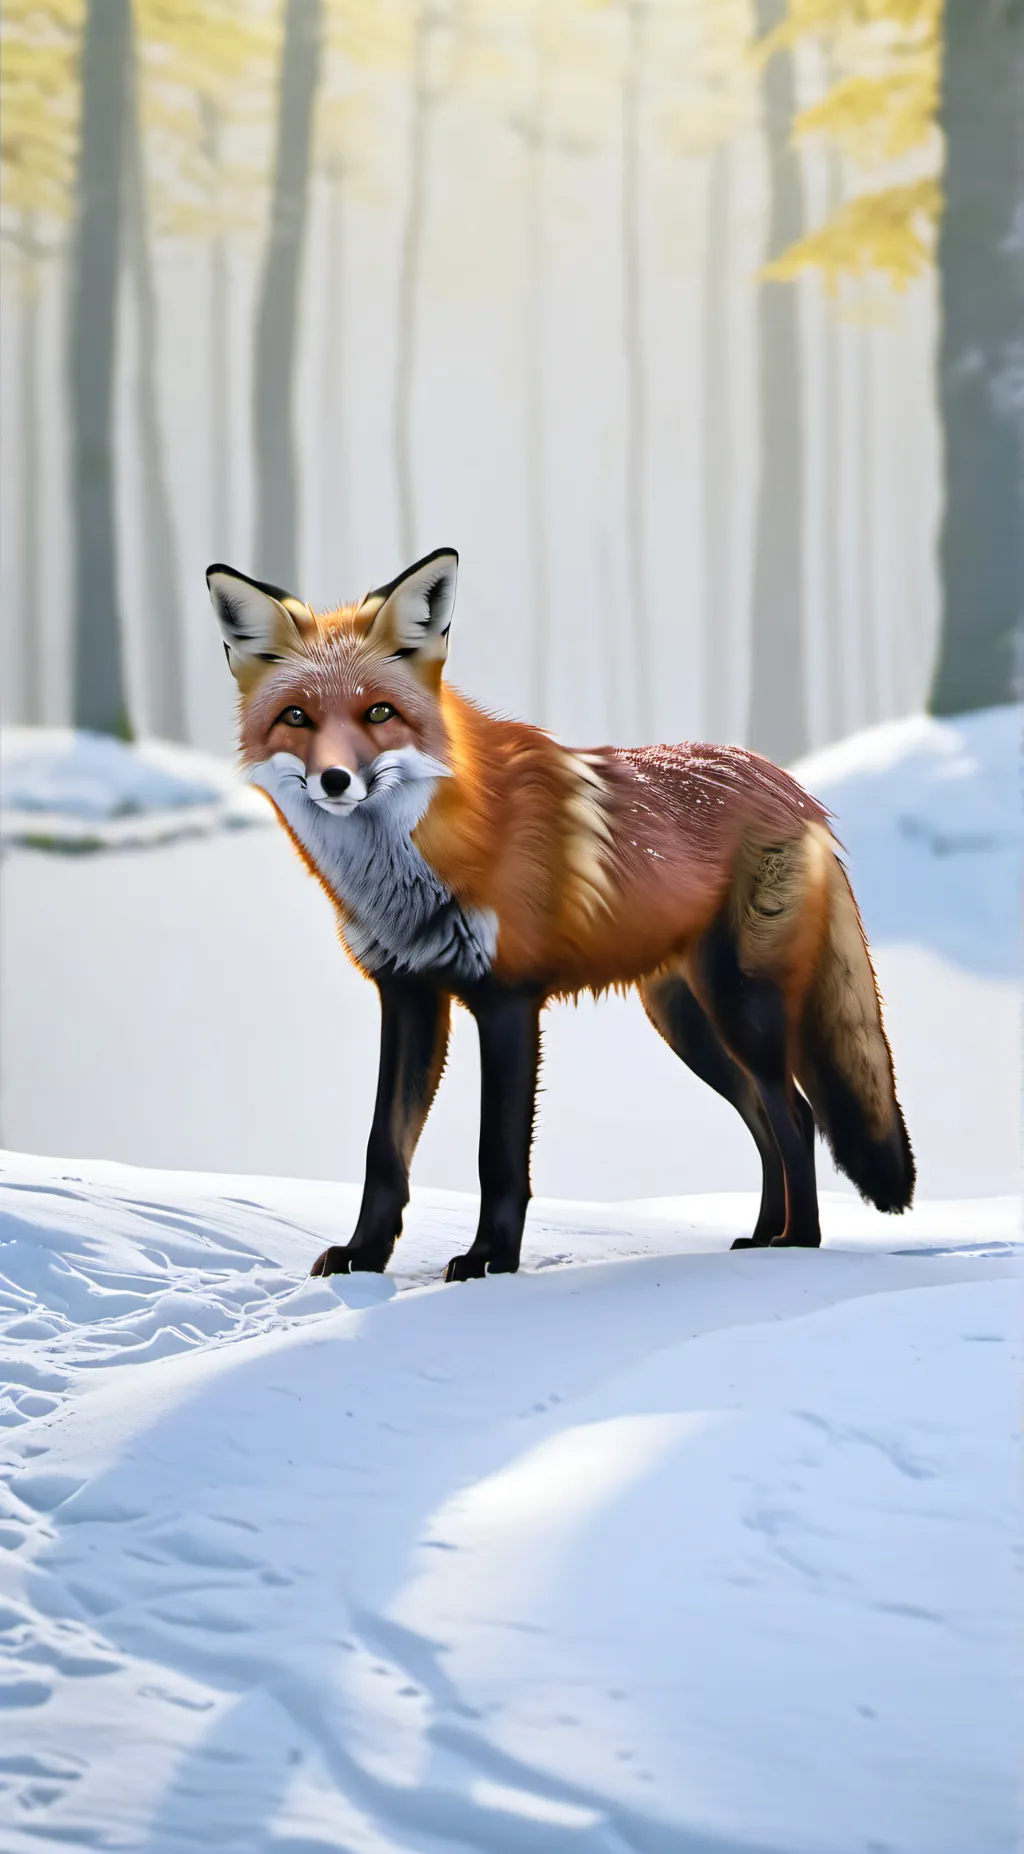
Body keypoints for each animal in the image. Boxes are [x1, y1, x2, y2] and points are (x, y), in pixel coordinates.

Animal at [206, 546, 914, 1282]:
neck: (414, 870)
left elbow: (497, 1154)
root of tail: (794, 787)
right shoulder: (407, 992)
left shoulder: (508, 998)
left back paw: (798, 1242)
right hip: (690, 1024)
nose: (336, 781)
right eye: (296, 718)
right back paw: (762, 1233)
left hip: (740, 1006)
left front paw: (490, 1259)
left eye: (378, 713)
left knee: (797, 1116)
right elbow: (384, 1148)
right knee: (766, 1122)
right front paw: (365, 1255)